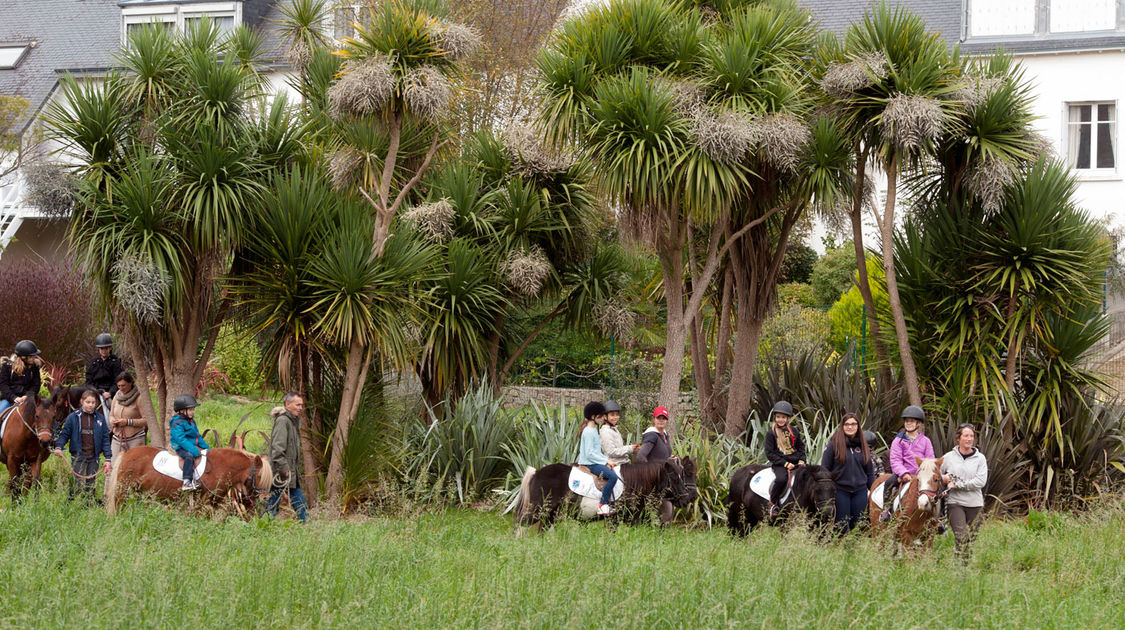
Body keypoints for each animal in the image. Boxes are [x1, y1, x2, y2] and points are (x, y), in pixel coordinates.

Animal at [105, 443, 272, 517]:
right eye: (259, 476)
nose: (265, 498)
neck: (220, 467)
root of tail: (126, 453)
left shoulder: (215, 504)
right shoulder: (201, 504)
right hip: (123, 492)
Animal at [515, 456, 693, 531]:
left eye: (682, 476)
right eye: (674, 478)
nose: (687, 499)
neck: (631, 483)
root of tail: (536, 472)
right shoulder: (613, 520)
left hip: (550, 513)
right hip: (536, 510)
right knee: (521, 525)